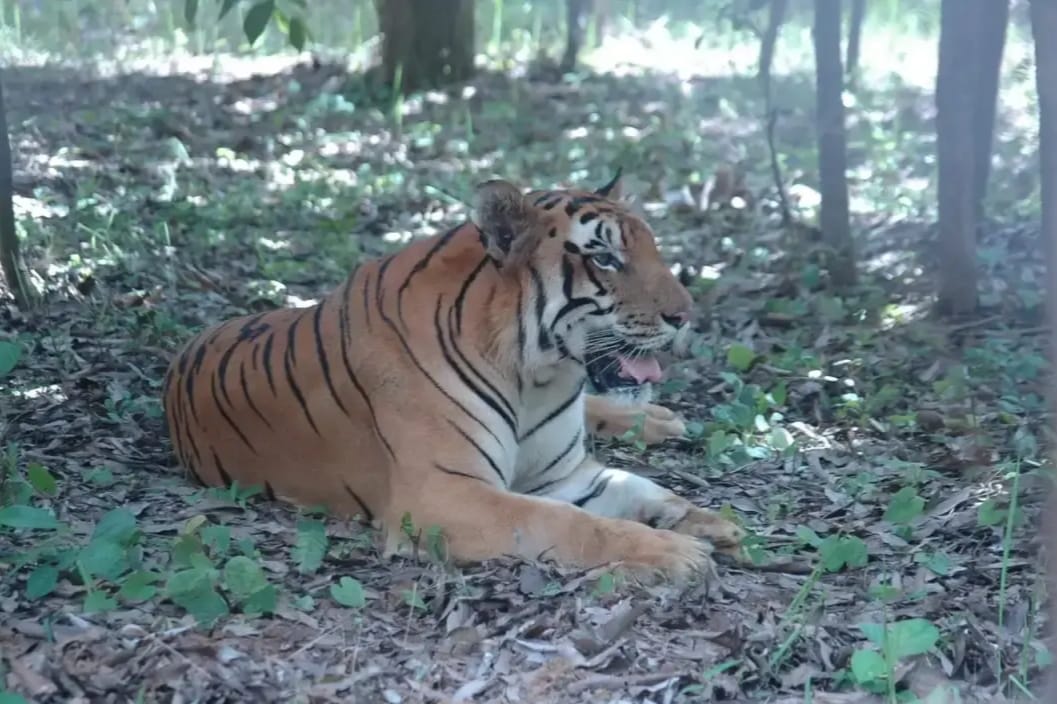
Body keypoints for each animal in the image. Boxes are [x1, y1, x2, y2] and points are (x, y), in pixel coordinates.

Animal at [161, 172, 745, 583]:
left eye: (652, 248)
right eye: (604, 258)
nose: (686, 315)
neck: (539, 377)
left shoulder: (562, 475)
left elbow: (643, 487)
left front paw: (708, 522)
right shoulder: (443, 494)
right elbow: (571, 524)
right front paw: (677, 552)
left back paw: (656, 417)